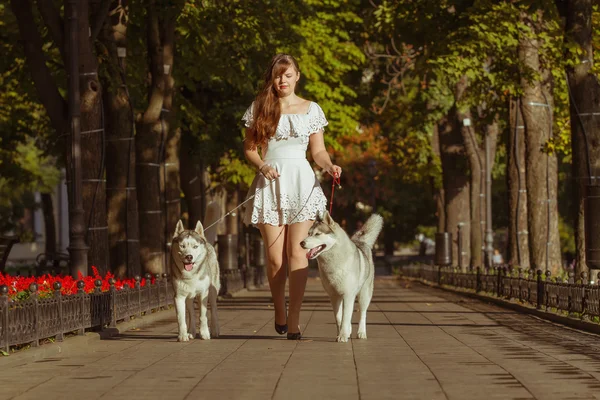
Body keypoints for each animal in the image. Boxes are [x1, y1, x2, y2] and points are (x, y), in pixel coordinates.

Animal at [300, 211, 384, 342]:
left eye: (318, 234)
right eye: (308, 233)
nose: (301, 243)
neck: (333, 262)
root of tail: (361, 242)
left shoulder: (348, 295)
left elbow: (346, 317)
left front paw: (343, 336)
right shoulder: (334, 296)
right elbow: (339, 318)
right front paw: (341, 333)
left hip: (364, 295)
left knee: (363, 313)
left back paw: (361, 332)